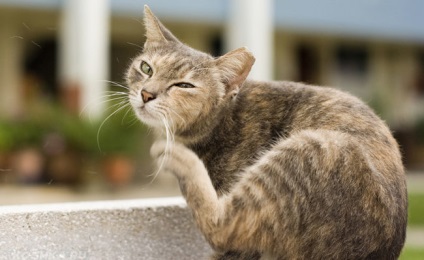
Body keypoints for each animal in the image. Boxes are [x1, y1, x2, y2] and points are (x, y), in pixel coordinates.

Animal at [126, 6, 408, 260]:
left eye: (184, 85)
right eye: (146, 68)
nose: (147, 93)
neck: (219, 123)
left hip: (313, 148)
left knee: (222, 227)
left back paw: (177, 157)